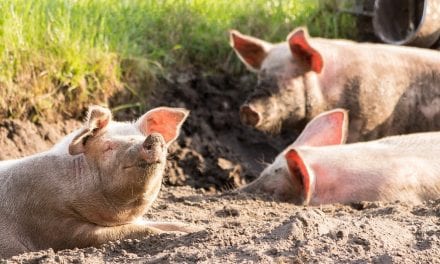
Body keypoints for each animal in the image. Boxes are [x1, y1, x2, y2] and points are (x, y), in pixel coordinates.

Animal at [0, 104, 194, 258]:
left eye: (140, 136)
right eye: (108, 147)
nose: (154, 137)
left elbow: (169, 223)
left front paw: (195, 229)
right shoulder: (53, 224)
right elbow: (138, 230)